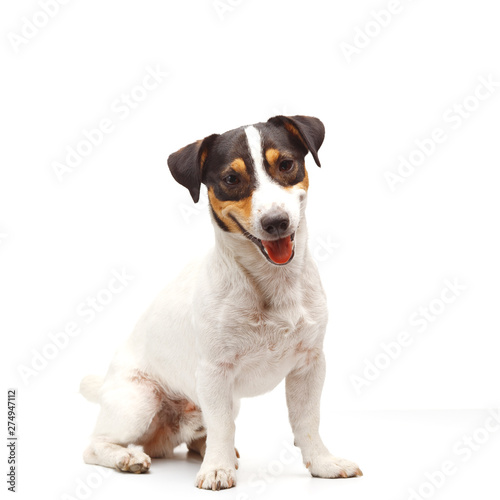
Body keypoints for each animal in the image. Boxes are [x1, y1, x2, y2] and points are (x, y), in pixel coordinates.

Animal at [81, 116, 364, 488]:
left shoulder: (310, 364)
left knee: (194, 438)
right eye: (231, 179)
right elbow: (222, 425)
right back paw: (129, 457)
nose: (276, 222)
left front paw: (322, 463)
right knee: (96, 445)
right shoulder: (215, 372)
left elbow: (308, 421)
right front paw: (217, 468)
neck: (271, 284)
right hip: (138, 403)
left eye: (286, 165)